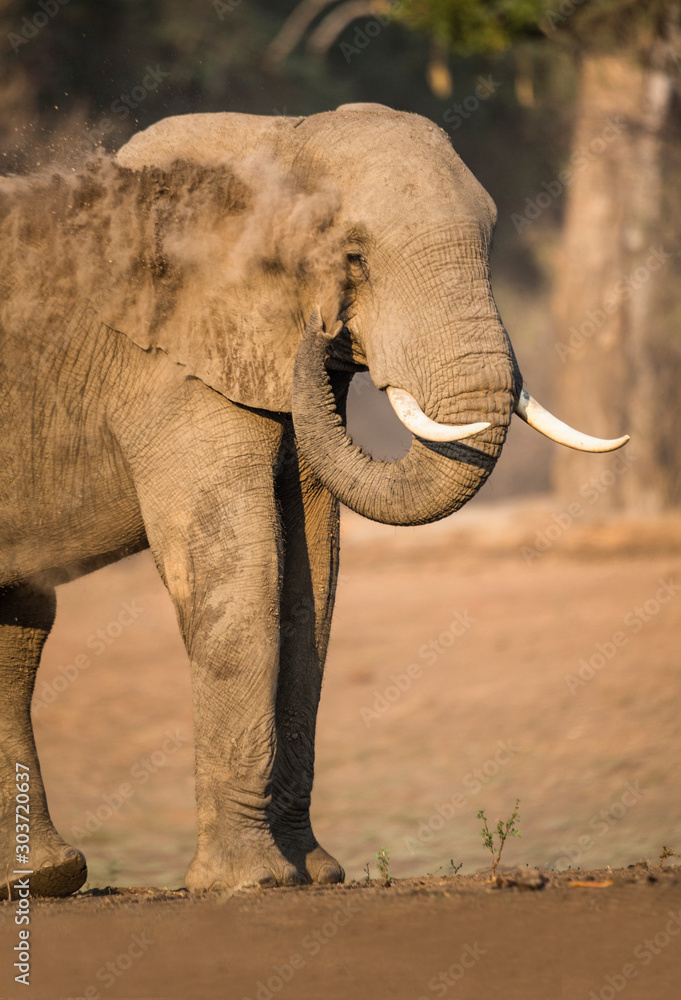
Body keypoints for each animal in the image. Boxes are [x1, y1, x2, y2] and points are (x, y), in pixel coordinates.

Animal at [0, 103, 628, 896]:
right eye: (353, 258)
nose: (323, 323)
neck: (273, 137)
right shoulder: (167, 372)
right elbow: (239, 574)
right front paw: (250, 883)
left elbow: (311, 588)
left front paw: (315, 873)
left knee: (22, 628)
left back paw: (43, 879)